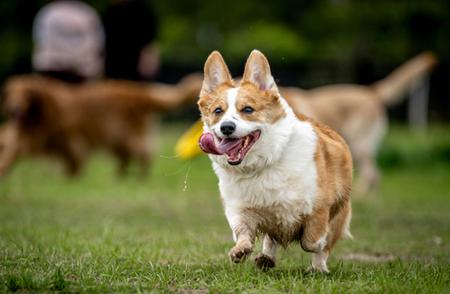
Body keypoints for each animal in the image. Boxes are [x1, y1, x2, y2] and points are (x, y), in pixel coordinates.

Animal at [0, 73, 201, 177]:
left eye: (25, 93)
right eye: (11, 93)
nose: (14, 109)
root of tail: (139, 92)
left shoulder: (71, 139)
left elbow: (74, 159)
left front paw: (72, 176)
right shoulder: (29, 138)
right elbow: (11, 149)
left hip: (125, 135)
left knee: (144, 152)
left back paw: (140, 175)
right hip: (117, 139)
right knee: (126, 157)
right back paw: (119, 175)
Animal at [199, 51, 354, 274]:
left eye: (248, 109)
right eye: (218, 111)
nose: (226, 127)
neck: (262, 164)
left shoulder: (319, 207)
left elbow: (311, 241)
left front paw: (318, 246)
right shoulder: (240, 210)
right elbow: (243, 232)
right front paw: (240, 250)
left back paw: (318, 268)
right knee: (270, 239)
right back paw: (266, 258)